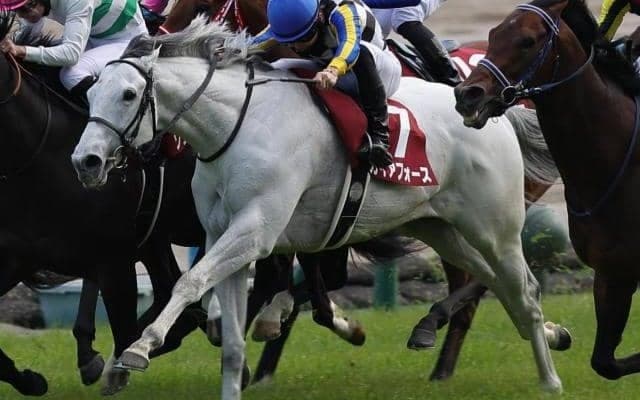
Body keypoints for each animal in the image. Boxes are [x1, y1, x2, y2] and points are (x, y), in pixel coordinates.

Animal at [71, 19, 568, 398]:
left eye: (129, 95)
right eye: (92, 93)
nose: (86, 161)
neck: (236, 126)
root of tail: (491, 112)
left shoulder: (256, 230)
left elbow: (190, 282)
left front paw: (137, 350)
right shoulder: (224, 237)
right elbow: (229, 339)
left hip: (496, 228)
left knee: (523, 289)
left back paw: (550, 380)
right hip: (439, 226)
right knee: (495, 283)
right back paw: (550, 334)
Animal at [454, 0, 640, 380]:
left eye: (527, 40)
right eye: (493, 34)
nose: (468, 94)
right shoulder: (611, 272)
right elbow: (605, 362)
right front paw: (557, 334)